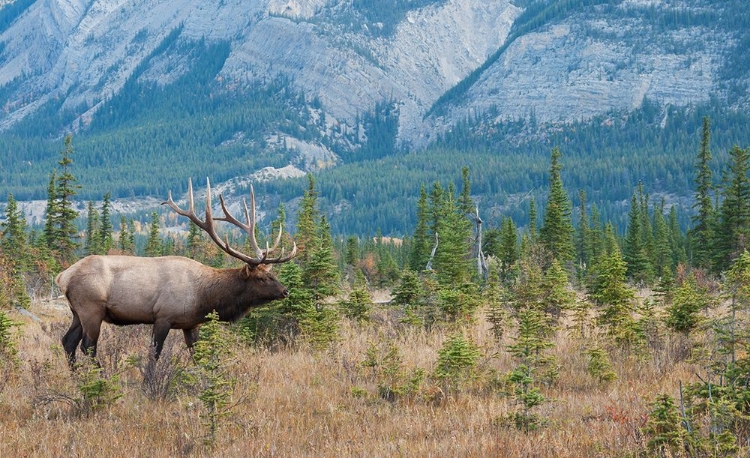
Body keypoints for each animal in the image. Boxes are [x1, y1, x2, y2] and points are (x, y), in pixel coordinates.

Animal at [55, 177, 296, 364]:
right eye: (262, 277)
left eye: (273, 274)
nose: (285, 291)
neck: (205, 297)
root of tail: (62, 276)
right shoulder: (163, 316)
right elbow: (154, 355)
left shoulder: (191, 324)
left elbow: (198, 357)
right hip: (91, 308)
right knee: (87, 346)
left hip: (76, 311)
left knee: (68, 342)